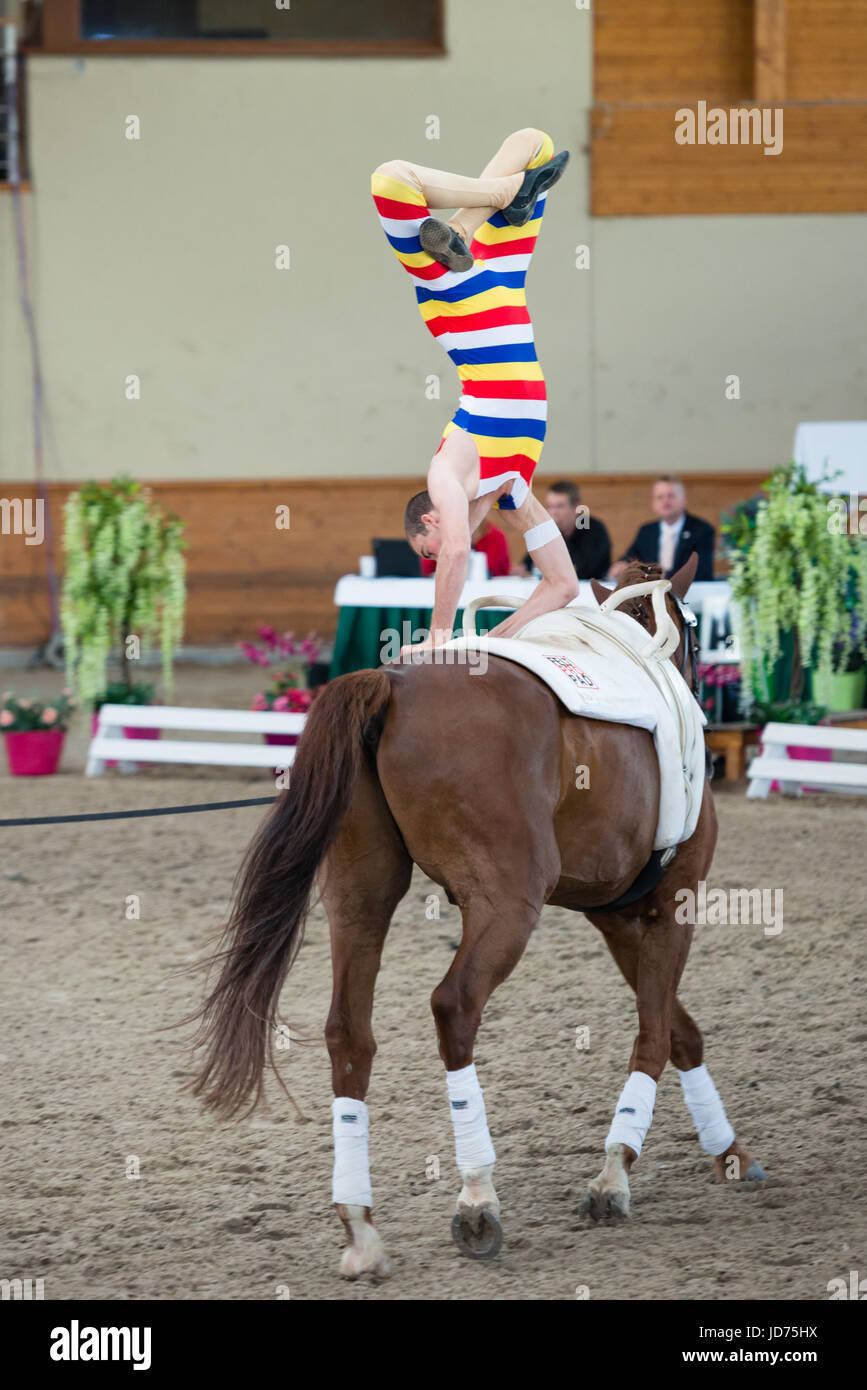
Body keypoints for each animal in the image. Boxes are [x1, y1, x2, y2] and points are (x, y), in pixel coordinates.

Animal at [191, 558, 766, 1273]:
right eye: (695, 639)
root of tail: (391, 683)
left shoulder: (611, 916)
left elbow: (678, 1028)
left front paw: (729, 1153)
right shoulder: (673, 900)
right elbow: (656, 1035)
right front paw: (614, 1176)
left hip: (359, 894)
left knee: (348, 1032)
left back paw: (360, 1227)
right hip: (507, 904)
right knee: (455, 1006)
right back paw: (476, 1198)